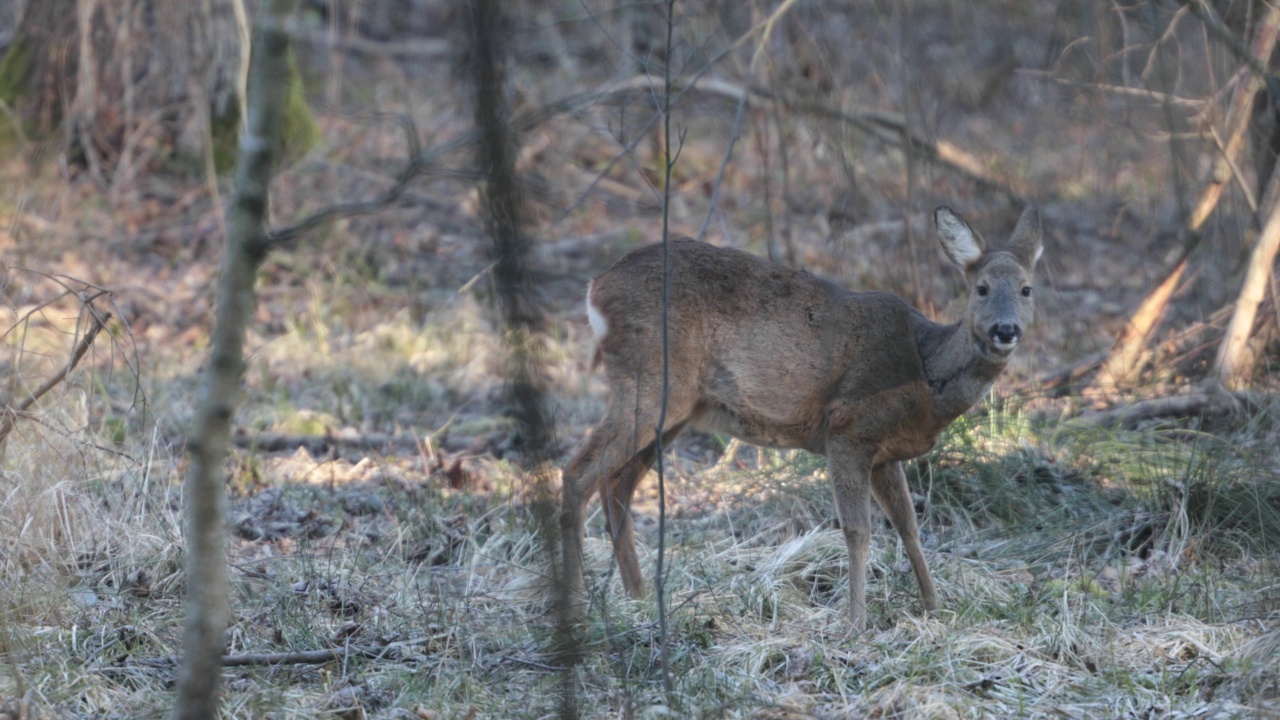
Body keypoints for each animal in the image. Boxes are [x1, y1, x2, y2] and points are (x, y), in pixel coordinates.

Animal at [565, 203, 1044, 627]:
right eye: (981, 288)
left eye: (1027, 289)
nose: (1005, 329)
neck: (924, 371)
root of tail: (595, 287)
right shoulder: (848, 428)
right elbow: (858, 530)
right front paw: (855, 623)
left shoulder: (885, 454)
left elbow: (908, 526)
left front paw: (934, 608)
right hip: (650, 380)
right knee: (577, 472)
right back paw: (574, 609)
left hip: (675, 410)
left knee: (617, 485)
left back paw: (638, 598)